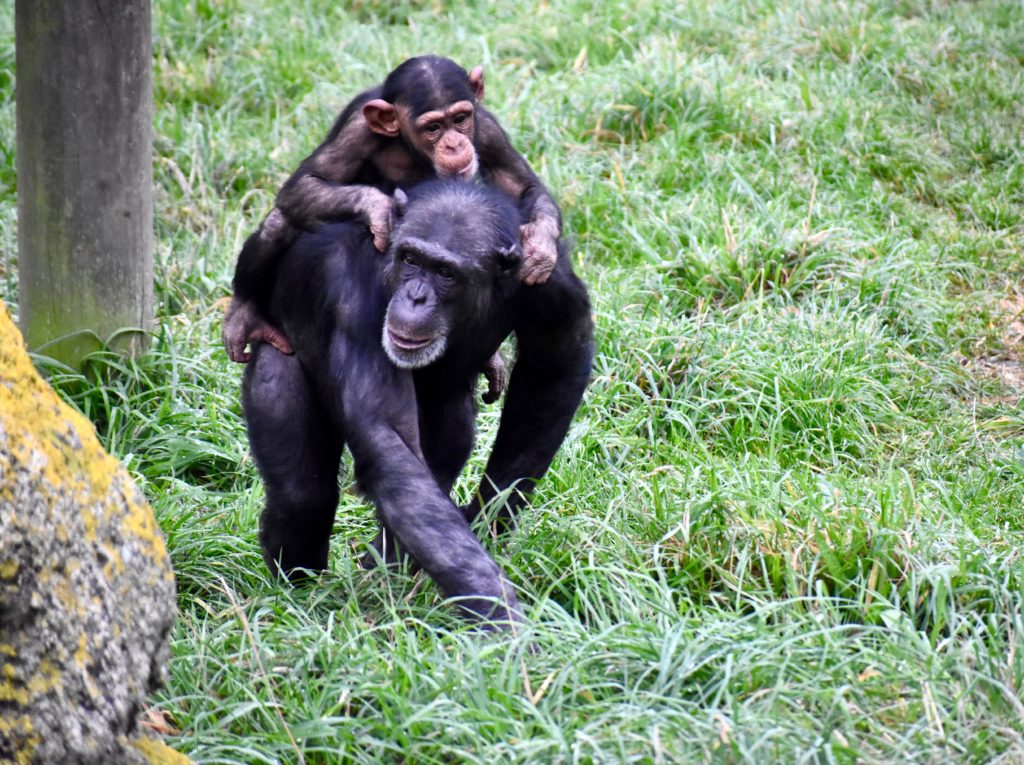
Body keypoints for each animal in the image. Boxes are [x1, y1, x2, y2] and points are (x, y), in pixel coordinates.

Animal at [226, 52, 561, 380]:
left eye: (460, 119)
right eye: (433, 129)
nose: (454, 144)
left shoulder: (487, 128)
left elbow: (522, 186)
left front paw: (541, 249)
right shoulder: (357, 133)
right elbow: (305, 183)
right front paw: (381, 209)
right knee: (280, 222)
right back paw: (243, 314)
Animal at [239, 181, 593, 626]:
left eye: (445, 272)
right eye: (410, 259)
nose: (415, 297)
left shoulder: (550, 278)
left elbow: (555, 365)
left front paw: (488, 521)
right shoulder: (356, 291)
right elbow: (386, 436)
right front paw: (503, 617)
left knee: (439, 458)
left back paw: (387, 568)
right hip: (274, 354)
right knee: (301, 494)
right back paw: (299, 592)